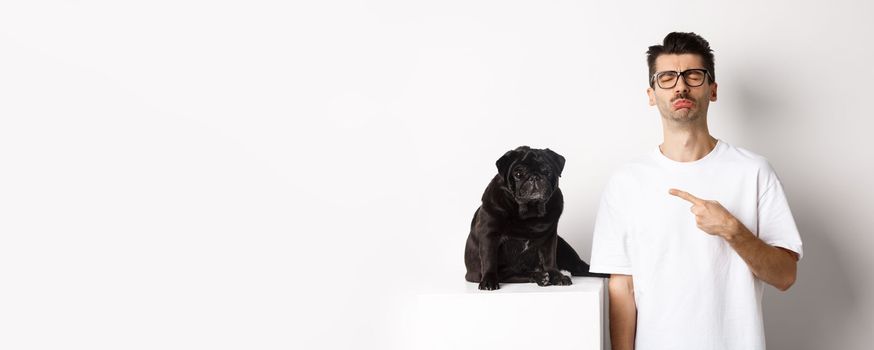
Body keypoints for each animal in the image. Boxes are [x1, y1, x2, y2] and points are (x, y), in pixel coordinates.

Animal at [464, 146, 608, 290]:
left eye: (547, 171)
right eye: (518, 174)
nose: (534, 177)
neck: (529, 213)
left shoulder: (550, 237)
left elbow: (549, 259)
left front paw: (557, 276)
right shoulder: (489, 235)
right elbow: (489, 259)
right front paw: (488, 281)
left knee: (580, 268)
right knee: (516, 274)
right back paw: (540, 277)